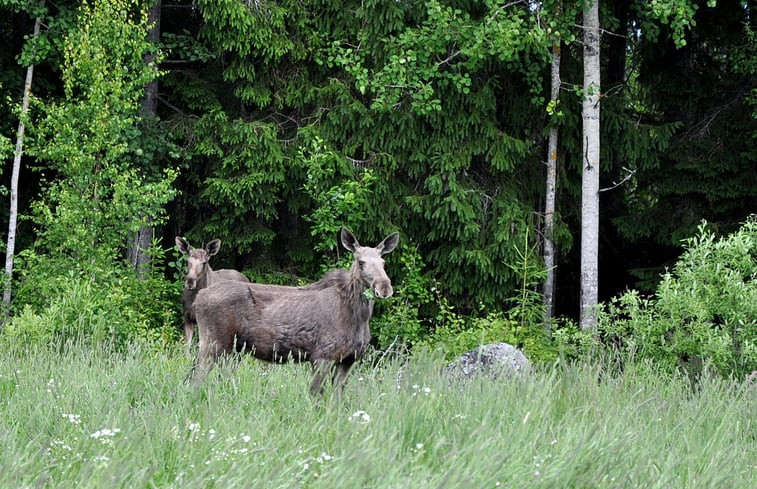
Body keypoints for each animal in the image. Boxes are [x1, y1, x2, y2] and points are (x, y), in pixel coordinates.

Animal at [188, 229, 398, 396]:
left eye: (383, 262)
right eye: (361, 262)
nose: (384, 287)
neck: (358, 317)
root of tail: (198, 299)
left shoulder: (348, 360)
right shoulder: (321, 357)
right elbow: (316, 397)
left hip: (232, 350)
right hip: (213, 344)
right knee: (195, 380)